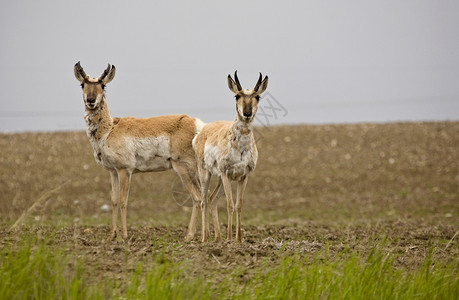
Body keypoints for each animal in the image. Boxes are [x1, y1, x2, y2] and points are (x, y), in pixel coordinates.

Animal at [74, 61, 204, 241]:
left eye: (103, 85)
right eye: (82, 84)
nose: (91, 100)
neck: (109, 130)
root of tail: (195, 124)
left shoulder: (125, 170)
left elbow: (123, 201)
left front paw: (123, 236)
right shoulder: (113, 172)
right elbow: (114, 200)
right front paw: (111, 236)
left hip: (184, 168)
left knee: (197, 197)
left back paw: (189, 236)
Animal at [194, 70, 270, 241]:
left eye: (257, 97)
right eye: (237, 95)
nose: (247, 113)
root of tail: (202, 132)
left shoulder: (243, 176)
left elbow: (238, 205)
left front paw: (238, 240)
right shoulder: (225, 173)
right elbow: (229, 205)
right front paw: (230, 239)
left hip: (221, 181)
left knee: (212, 200)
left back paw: (218, 239)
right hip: (206, 174)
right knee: (204, 201)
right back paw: (205, 239)